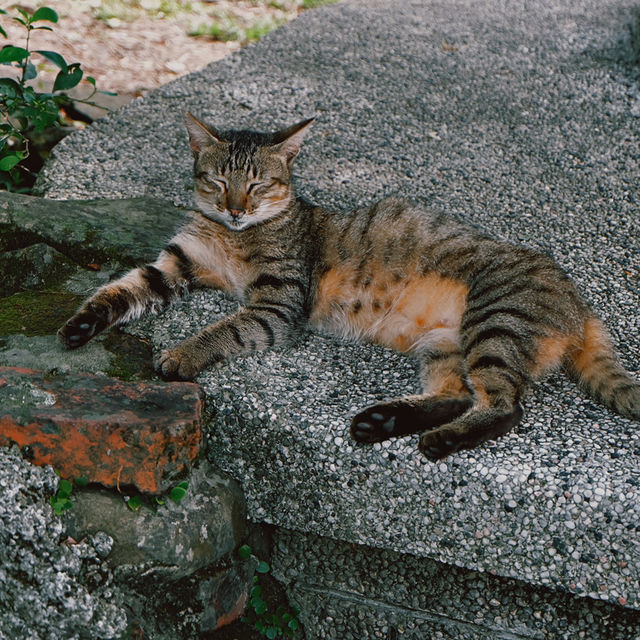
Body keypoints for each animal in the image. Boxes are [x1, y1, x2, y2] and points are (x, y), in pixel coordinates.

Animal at [58, 114, 640, 460]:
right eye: (219, 181)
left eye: (258, 184)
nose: (236, 208)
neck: (233, 236)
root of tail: (579, 303)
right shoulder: (175, 264)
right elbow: (120, 289)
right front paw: (80, 324)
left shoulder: (275, 305)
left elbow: (224, 328)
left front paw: (181, 355)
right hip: (447, 347)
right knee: (457, 395)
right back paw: (383, 419)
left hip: (494, 323)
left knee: (505, 406)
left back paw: (436, 439)